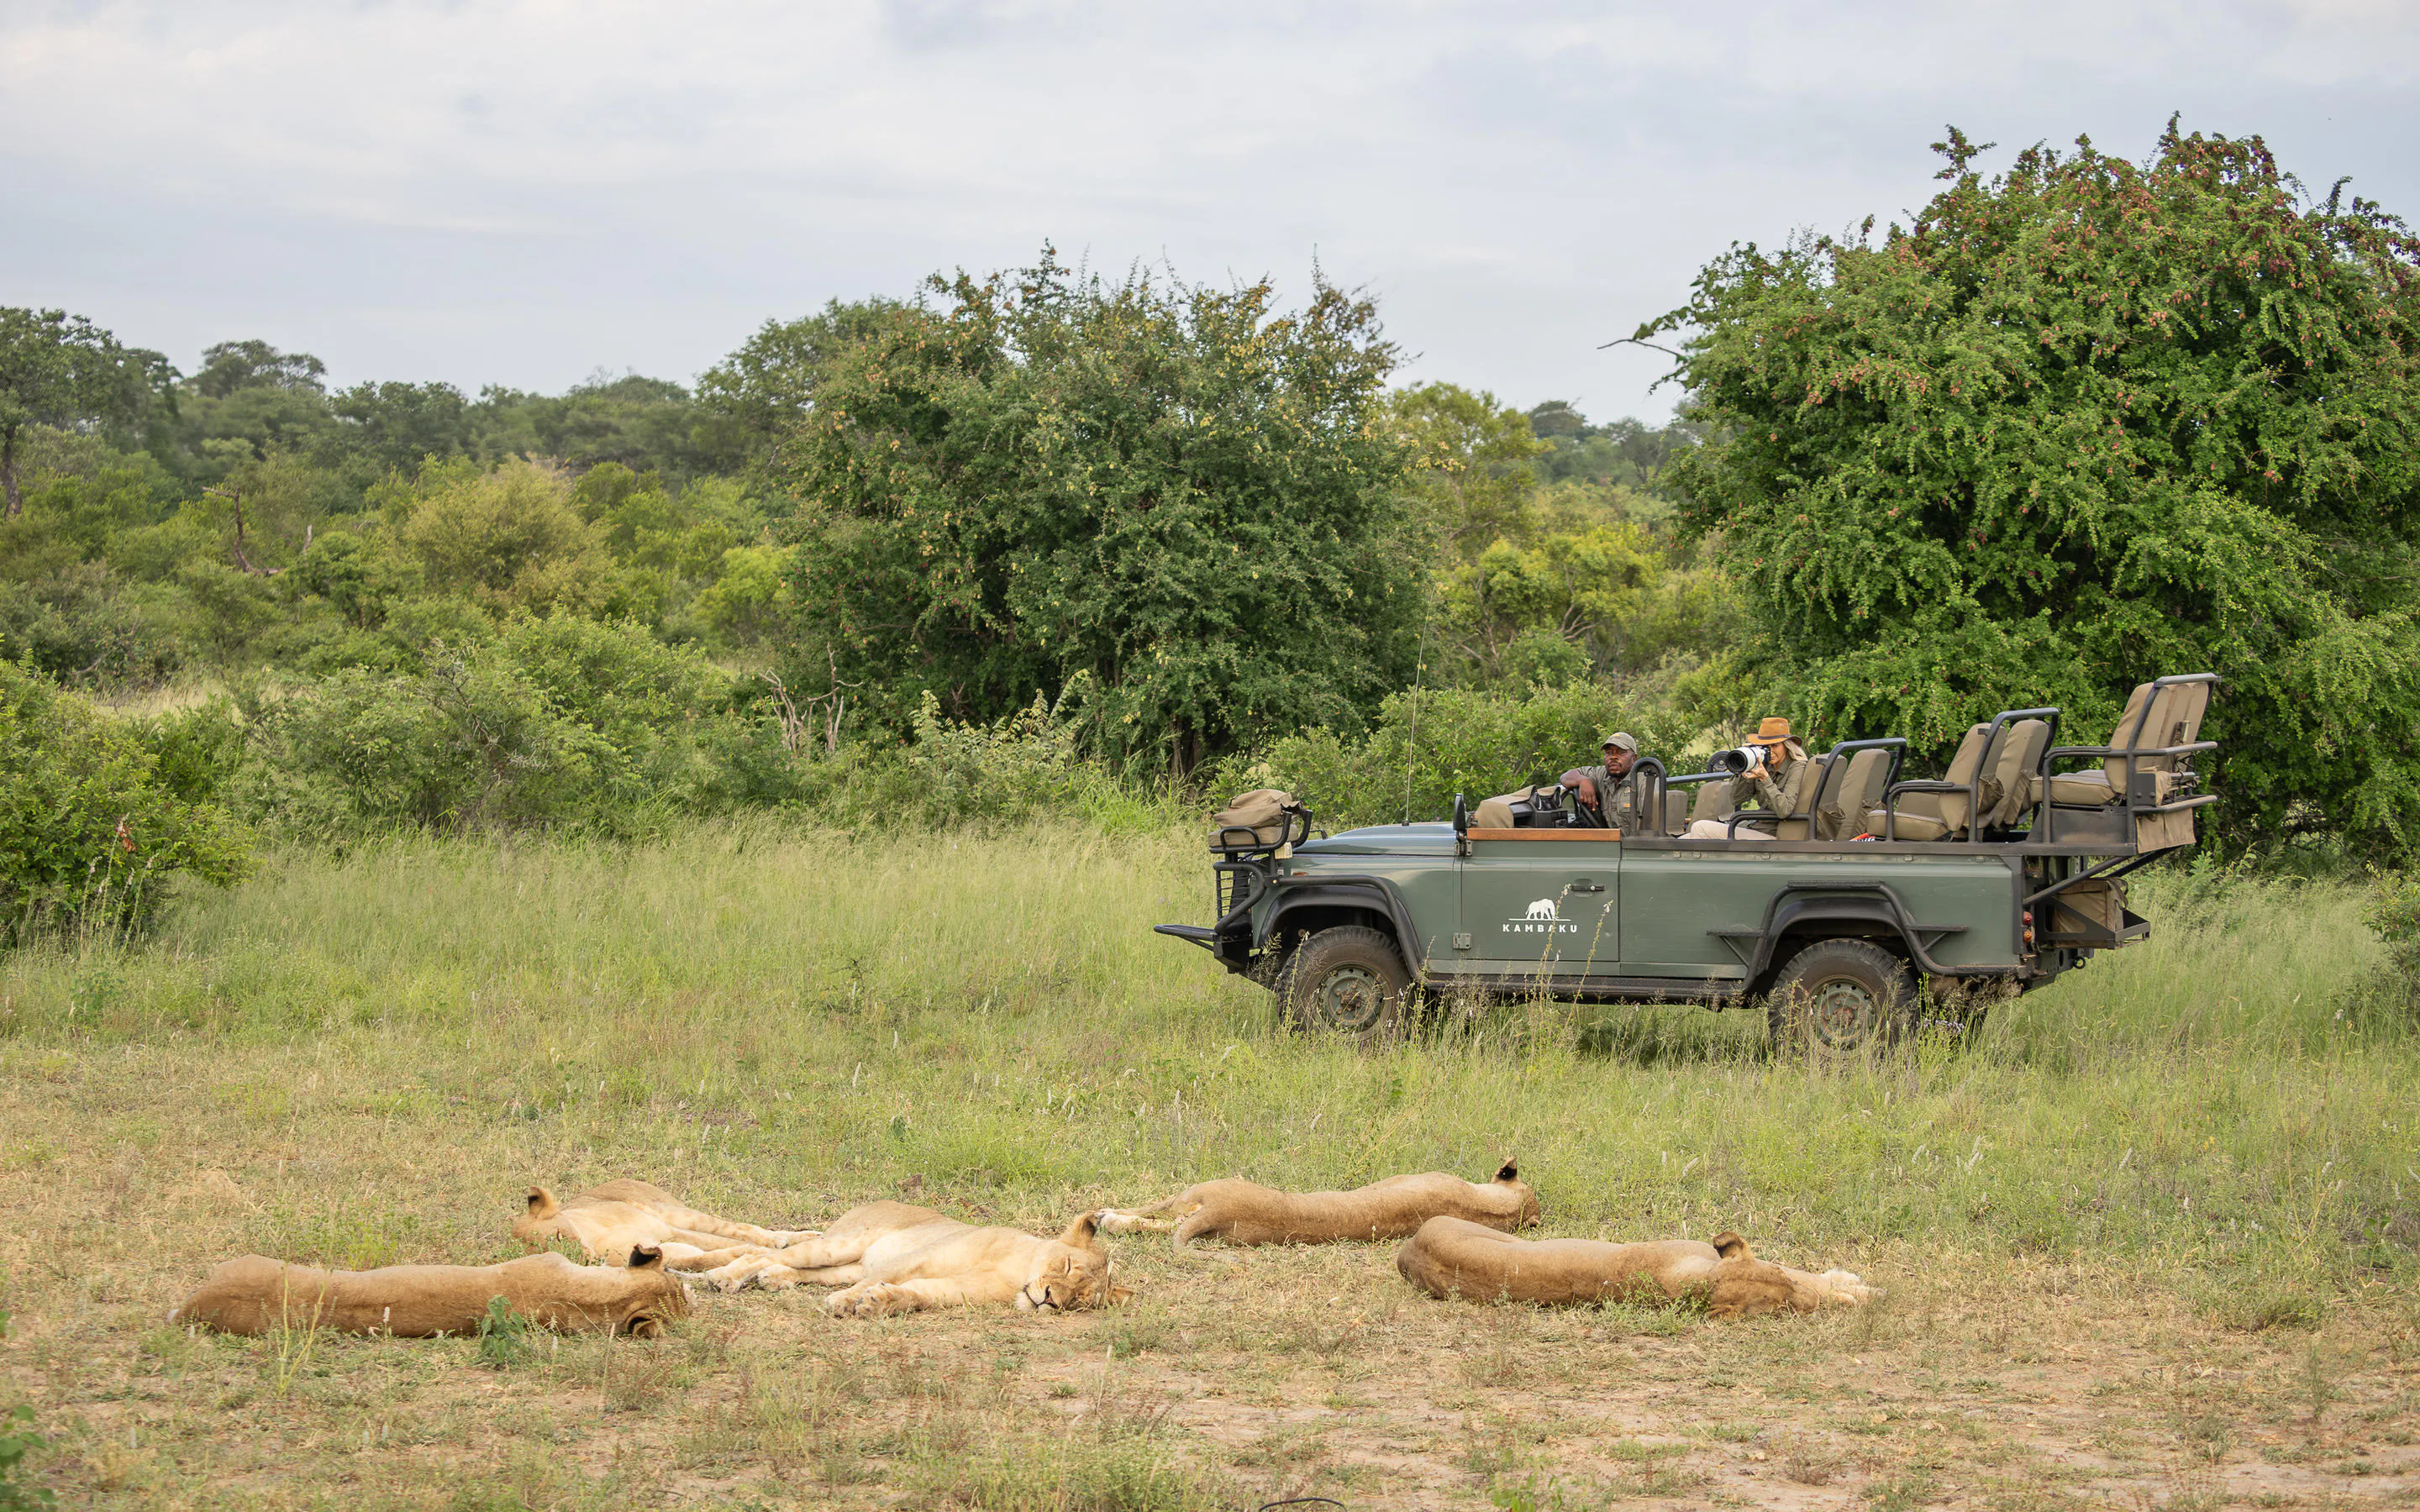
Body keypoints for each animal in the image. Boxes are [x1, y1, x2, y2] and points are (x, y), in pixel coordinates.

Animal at [514, 1179, 812, 1269]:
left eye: (559, 1236)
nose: (586, 1260)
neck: (594, 1237)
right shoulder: (658, 1248)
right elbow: (704, 1257)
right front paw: (747, 1256)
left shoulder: (667, 1230)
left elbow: (723, 1239)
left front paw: (768, 1250)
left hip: (675, 1213)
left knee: (739, 1228)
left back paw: (794, 1238)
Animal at [693, 1200, 1132, 1317]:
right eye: (1068, 1266)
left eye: (1080, 1300)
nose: (1051, 1300)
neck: (1018, 1270)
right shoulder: (920, 1257)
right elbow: (879, 1280)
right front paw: (847, 1304)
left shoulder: (958, 1288)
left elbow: (919, 1294)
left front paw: (881, 1302)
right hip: (842, 1243)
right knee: (765, 1252)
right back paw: (725, 1278)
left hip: (842, 1265)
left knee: (802, 1269)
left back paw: (774, 1278)